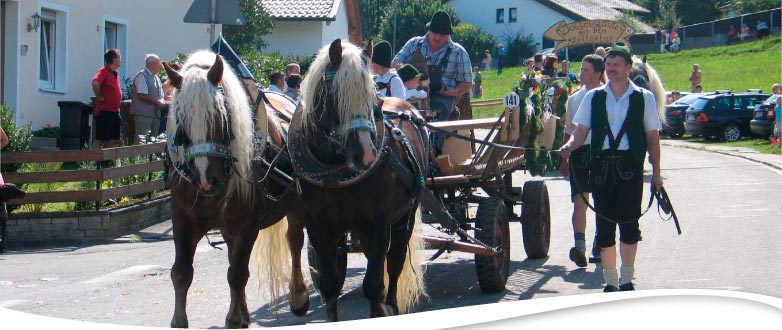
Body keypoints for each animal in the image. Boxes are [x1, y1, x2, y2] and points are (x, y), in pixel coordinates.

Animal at [282, 39, 428, 322]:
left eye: (374, 98)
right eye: (335, 95)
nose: (367, 153)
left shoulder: (380, 224)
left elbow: (373, 285)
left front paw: (381, 308)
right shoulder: (318, 226)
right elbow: (330, 284)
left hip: (404, 218)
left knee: (394, 264)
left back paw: (391, 305)